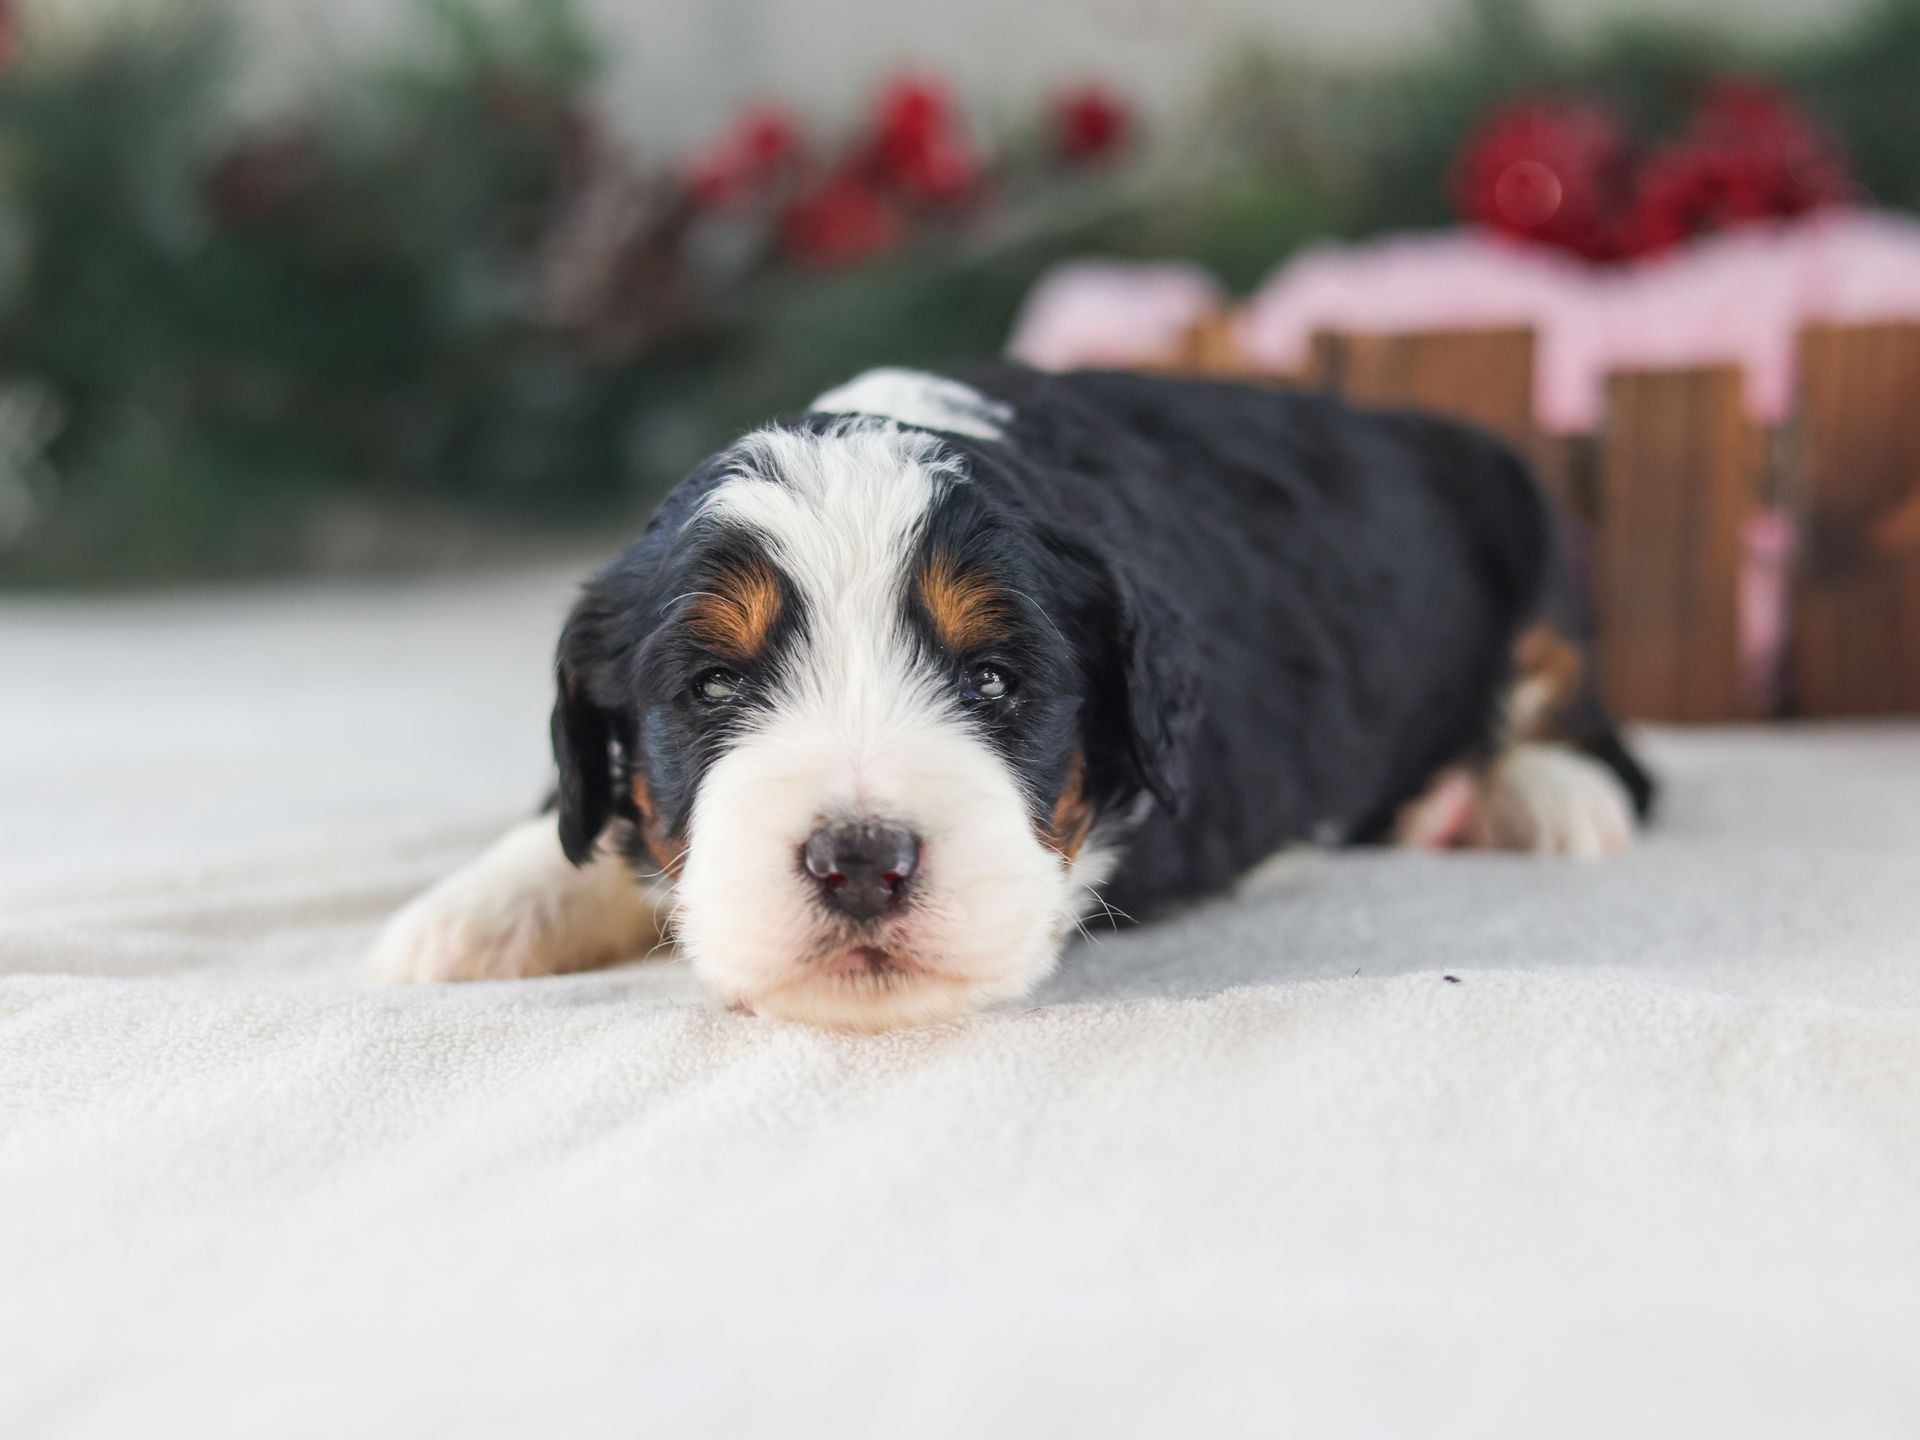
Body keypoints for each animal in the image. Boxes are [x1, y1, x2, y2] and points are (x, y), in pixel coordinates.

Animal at [370, 364, 1653, 1029]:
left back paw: (1532, 799)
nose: (860, 862)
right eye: (713, 684)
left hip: (1536, 548)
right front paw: (470, 915)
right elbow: (580, 808)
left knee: (1598, 735)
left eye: (994, 679)